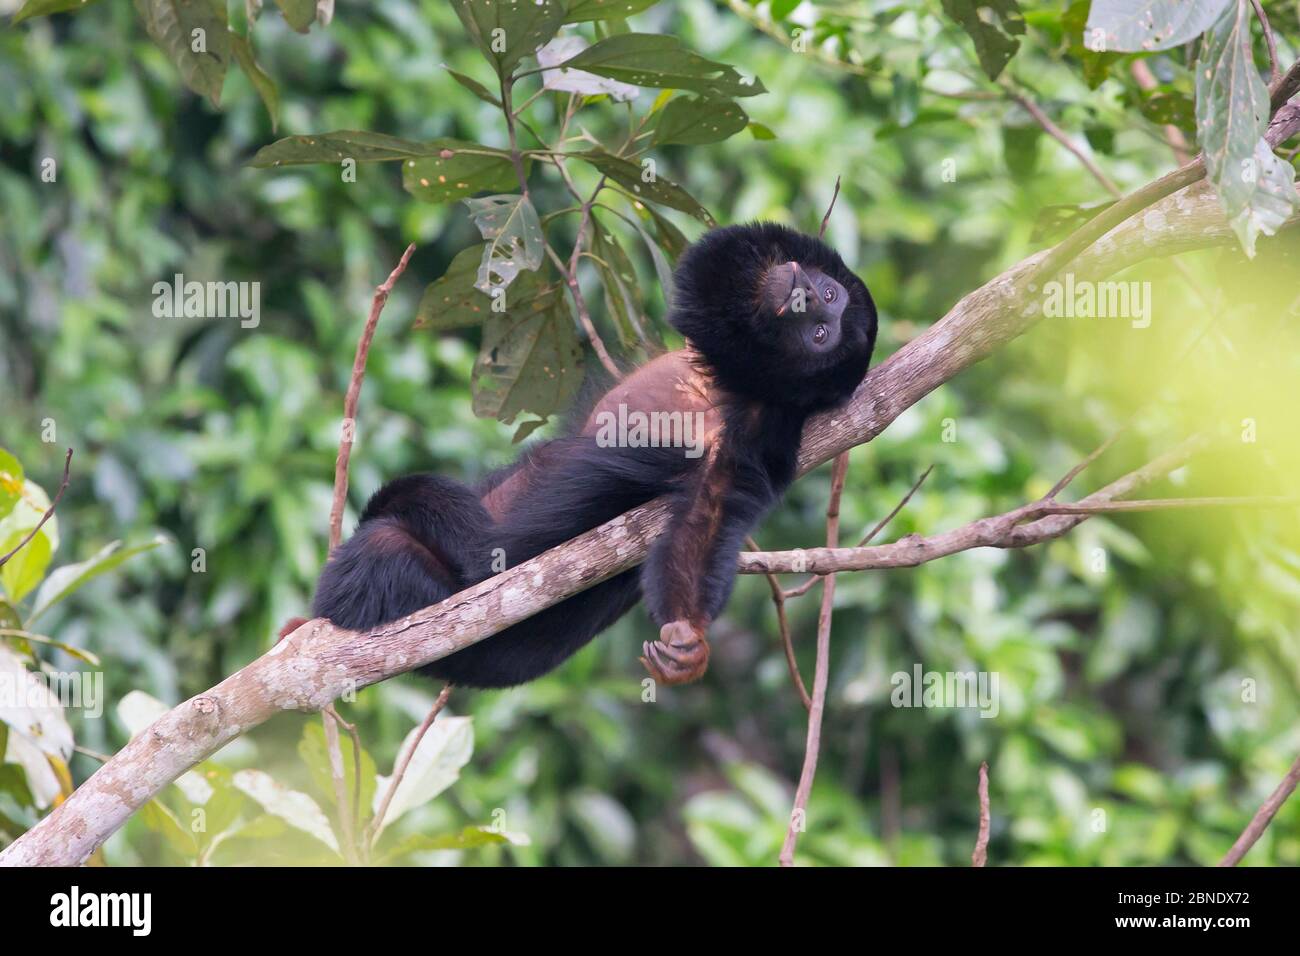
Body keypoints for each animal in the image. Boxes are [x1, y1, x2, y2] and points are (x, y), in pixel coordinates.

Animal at [310, 223, 878, 686]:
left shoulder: (760, 432)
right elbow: (717, 255)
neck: (737, 383)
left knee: (385, 548)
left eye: (821, 333)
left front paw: (688, 631)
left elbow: (709, 516)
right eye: (828, 297)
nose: (809, 295)